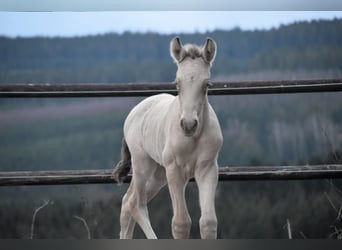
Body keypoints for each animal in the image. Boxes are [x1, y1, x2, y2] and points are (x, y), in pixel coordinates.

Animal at [113, 36, 222, 238]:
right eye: (177, 84)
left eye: (206, 85)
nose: (188, 124)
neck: (192, 138)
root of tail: (134, 112)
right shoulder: (175, 170)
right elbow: (180, 223)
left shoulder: (208, 169)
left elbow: (208, 222)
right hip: (142, 165)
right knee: (136, 204)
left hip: (159, 173)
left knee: (127, 202)